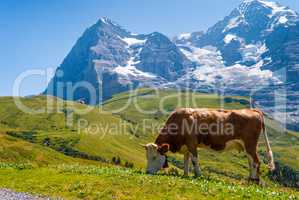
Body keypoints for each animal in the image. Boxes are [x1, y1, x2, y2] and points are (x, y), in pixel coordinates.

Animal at [143, 108, 276, 183]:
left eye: (154, 157)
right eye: (147, 157)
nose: (148, 172)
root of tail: (253, 110)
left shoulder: (192, 143)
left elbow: (194, 160)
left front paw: (198, 175)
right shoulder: (186, 146)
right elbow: (186, 160)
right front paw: (185, 175)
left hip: (250, 144)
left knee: (256, 161)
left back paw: (253, 180)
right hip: (247, 146)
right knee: (251, 162)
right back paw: (251, 179)